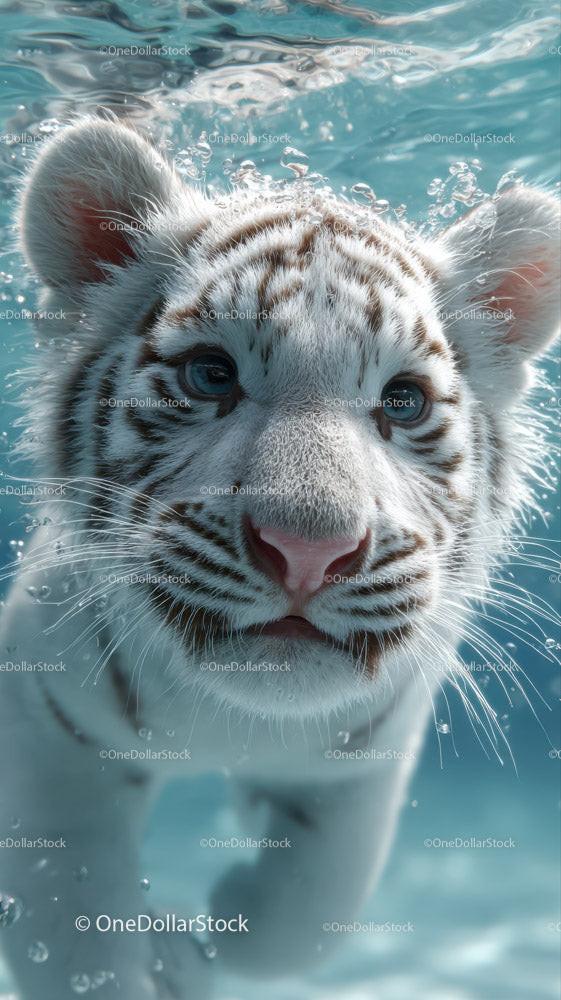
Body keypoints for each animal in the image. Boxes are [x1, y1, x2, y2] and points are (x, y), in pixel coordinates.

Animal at [0, 118, 558, 1000]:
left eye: (402, 401)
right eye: (209, 375)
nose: (308, 551)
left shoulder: (370, 754)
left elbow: (305, 917)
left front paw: (211, 936)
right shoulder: (48, 730)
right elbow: (74, 928)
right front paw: (156, 957)